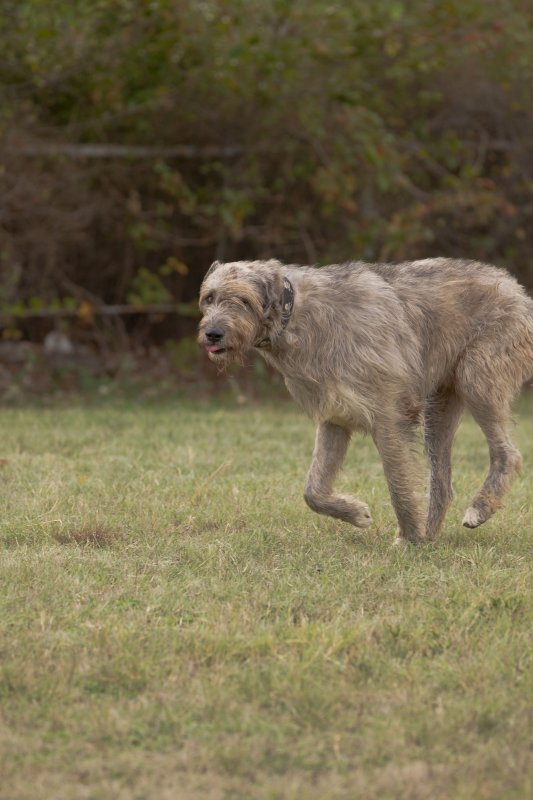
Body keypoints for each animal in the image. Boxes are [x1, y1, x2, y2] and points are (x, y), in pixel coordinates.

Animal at [198, 258, 532, 544]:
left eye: (243, 300)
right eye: (209, 298)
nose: (212, 334)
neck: (292, 315)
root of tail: (516, 288)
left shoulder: (389, 414)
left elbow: (398, 482)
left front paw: (409, 539)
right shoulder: (333, 417)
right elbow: (313, 490)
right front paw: (356, 513)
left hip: (478, 378)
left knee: (508, 453)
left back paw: (478, 508)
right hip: (438, 406)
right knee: (442, 481)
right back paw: (431, 533)